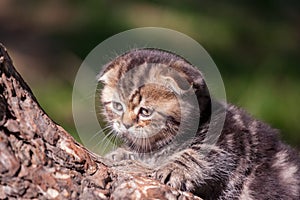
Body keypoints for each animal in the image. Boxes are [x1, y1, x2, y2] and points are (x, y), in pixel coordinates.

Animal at [98, 47, 300, 199]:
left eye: (145, 111)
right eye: (117, 106)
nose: (125, 124)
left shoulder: (230, 140)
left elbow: (198, 153)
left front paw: (174, 168)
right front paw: (120, 153)